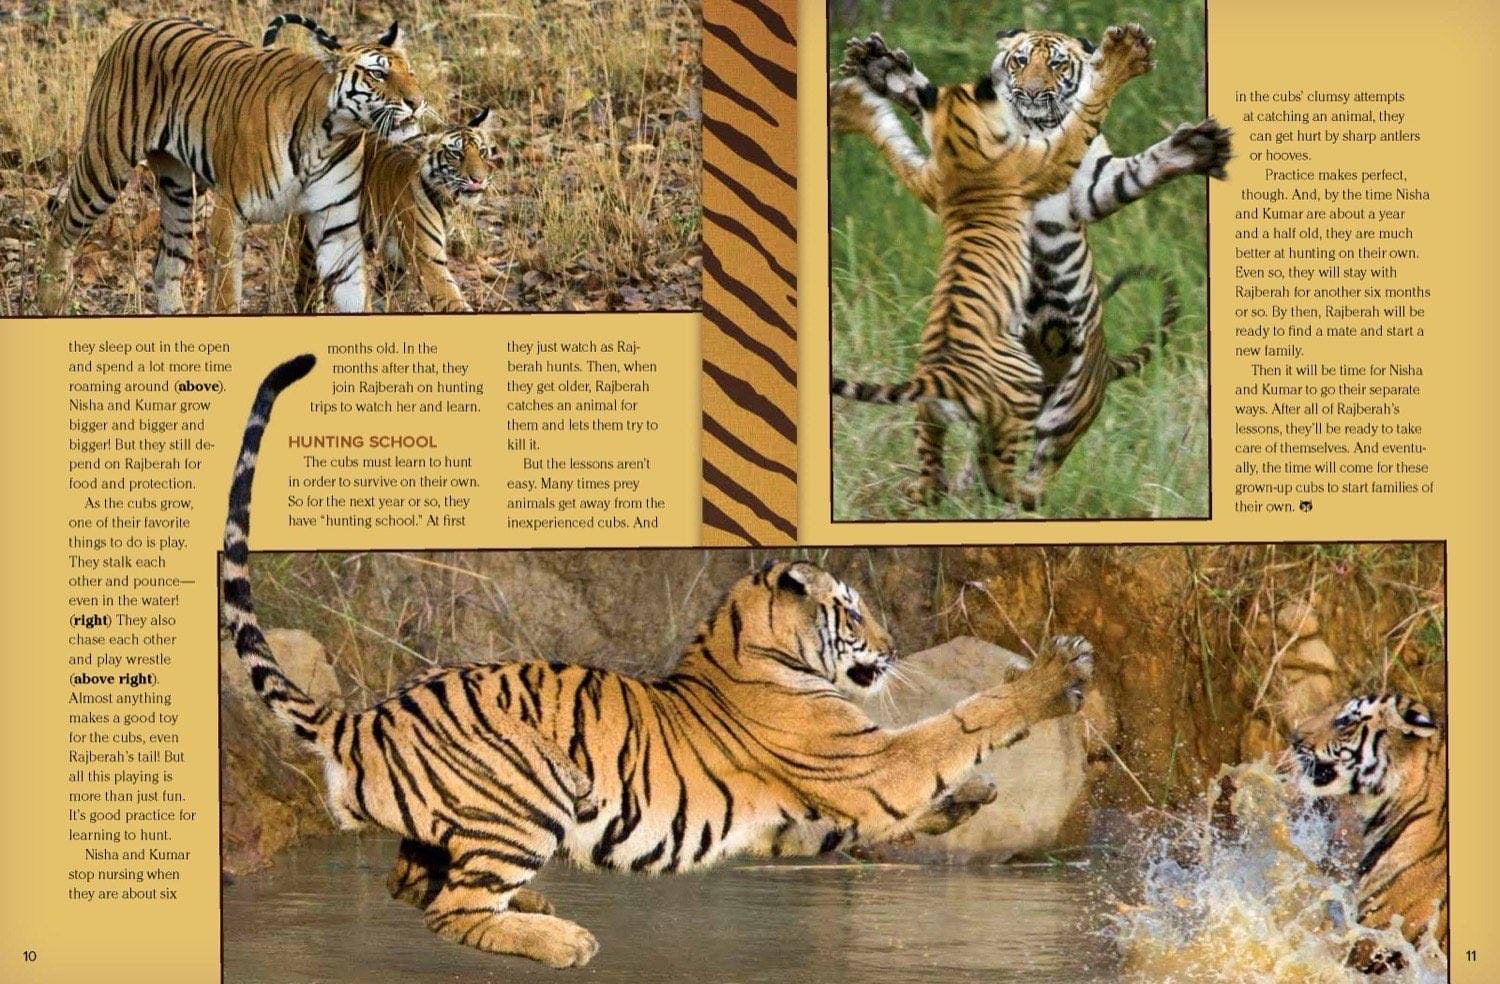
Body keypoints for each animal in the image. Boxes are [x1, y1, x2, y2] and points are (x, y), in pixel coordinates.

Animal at [37, 15, 426, 317]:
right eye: (377, 75)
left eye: (411, 72)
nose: (418, 102)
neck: (332, 135)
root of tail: (137, 25)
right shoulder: (229, 214)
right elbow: (226, 292)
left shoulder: (337, 227)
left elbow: (353, 293)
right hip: (105, 164)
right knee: (63, 228)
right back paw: (51, 301)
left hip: (181, 191)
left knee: (165, 265)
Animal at [222, 355, 1097, 968]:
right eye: (853, 610)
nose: (888, 649)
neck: (753, 649)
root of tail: (362, 716)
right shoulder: (862, 770)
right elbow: (958, 723)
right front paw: (1058, 676)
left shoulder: (807, 818)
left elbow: (932, 778)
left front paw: (973, 794)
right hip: (530, 788)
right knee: (452, 909)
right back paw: (564, 940)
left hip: (449, 823)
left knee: (412, 883)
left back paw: (536, 910)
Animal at [285, 109, 499, 313]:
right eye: (456, 154)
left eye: (482, 151)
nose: (478, 180)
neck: (446, 201)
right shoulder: (429, 262)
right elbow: (453, 300)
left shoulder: (398, 262)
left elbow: (381, 295)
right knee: (306, 283)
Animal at [831, 29, 1229, 508]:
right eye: (1019, 61)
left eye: (1056, 64)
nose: (1032, 93)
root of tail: (1103, 364)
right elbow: (926, 108)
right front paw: (881, 69)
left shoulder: (1088, 185)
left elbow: (1129, 159)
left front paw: (1196, 145)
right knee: (982, 458)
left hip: (1065, 410)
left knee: (1033, 465)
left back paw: (1001, 493)